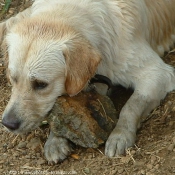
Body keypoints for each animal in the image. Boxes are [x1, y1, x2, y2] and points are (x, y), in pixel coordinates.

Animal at [0, 0, 175, 164]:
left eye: (41, 84)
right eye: (13, 79)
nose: (8, 124)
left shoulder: (158, 73)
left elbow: (131, 106)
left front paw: (120, 135)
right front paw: (55, 140)